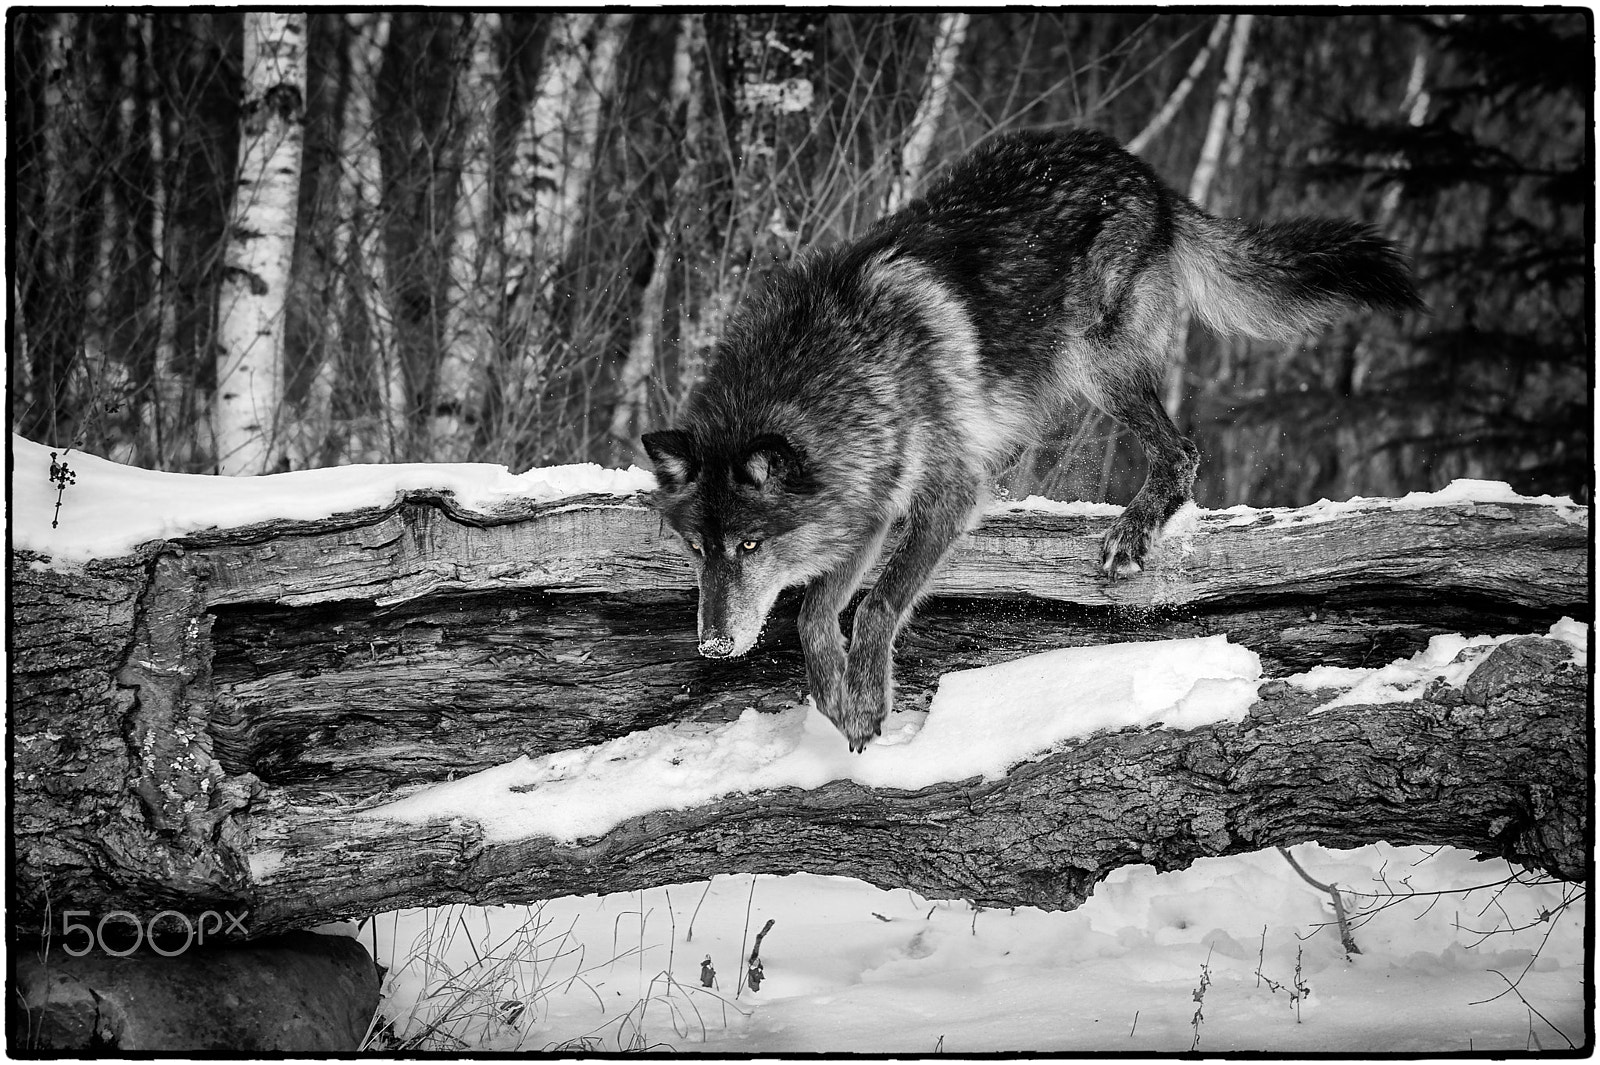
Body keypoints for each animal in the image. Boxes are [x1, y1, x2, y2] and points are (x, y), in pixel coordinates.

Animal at [643, 127, 1421, 752]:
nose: (714, 646)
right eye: (698, 550)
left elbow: (877, 605)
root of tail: (1142, 171)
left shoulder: (944, 497)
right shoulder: (870, 506)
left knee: (1182, 453)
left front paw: (867, 703)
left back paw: (1131, 535)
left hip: (1097, 363)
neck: (849, 371)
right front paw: (839, 705)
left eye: (750, 547)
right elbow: (812, 614)